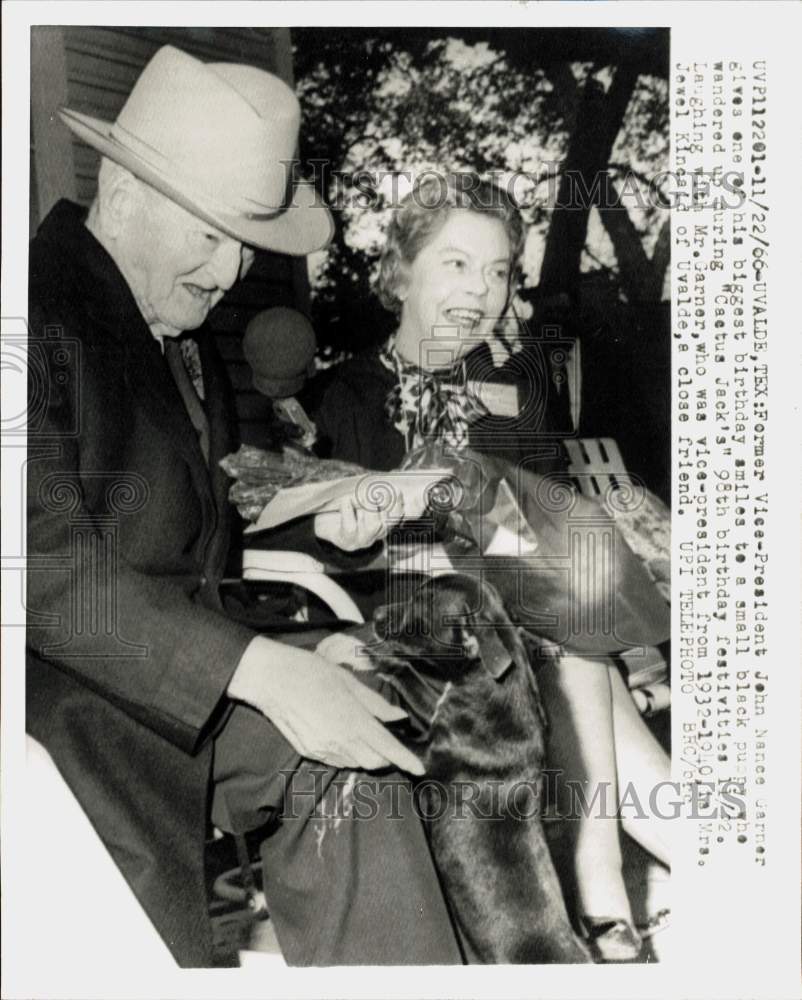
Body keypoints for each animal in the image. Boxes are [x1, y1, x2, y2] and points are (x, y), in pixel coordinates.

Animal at [362, 576, 588, 964]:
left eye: (418, 612)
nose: (375, 614)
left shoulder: (423, 756)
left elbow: (392, 730)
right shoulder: (434, 710)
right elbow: (416, 686)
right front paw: (389, 661)